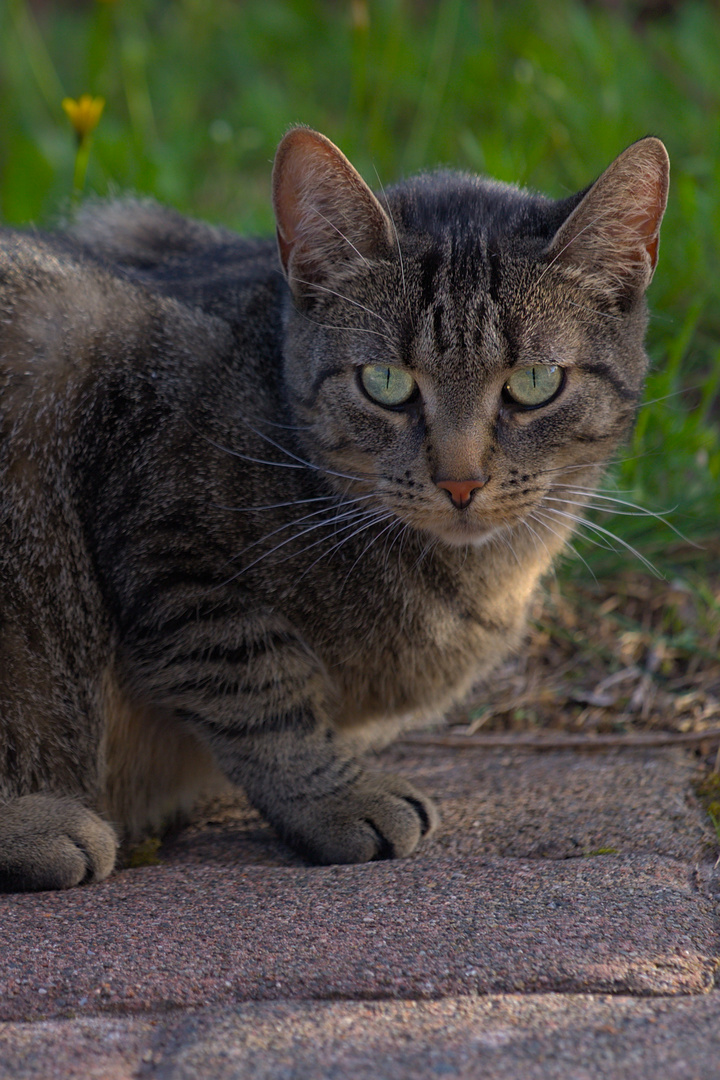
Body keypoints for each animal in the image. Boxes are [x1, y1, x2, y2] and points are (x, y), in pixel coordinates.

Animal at [0, 126, 669, 889]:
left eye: (534, 382)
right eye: (384, 382)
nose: (461, 482)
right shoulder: (164, 538)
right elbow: (259, 692)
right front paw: (339, 797)